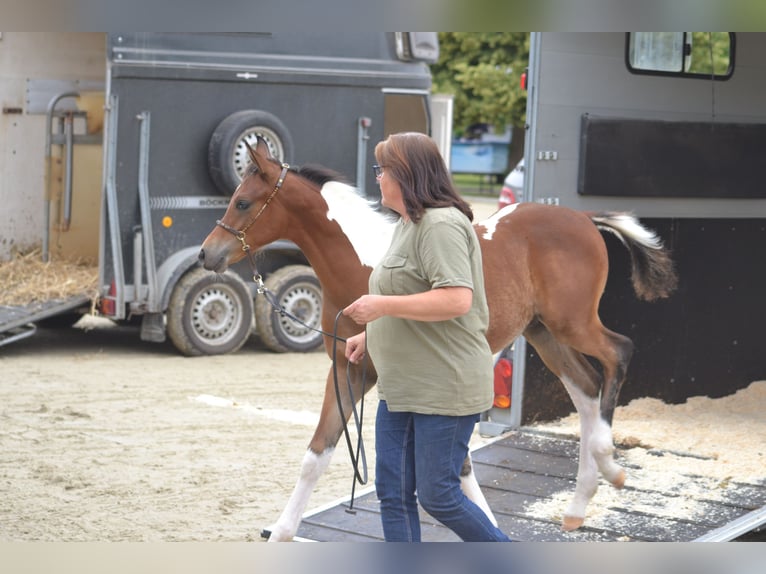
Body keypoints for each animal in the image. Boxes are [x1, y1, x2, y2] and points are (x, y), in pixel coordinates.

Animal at [199, 138, 678, 541]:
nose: (207, 254)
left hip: (572, 322)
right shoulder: (348, 370)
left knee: (617, 354)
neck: (362, 265)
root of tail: (582, 218)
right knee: (586, 389)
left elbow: (454, 468)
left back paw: (610, 465)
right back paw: (579, 504)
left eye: (243, 201)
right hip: (543, 333)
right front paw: (282, 532)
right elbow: (317, 454)